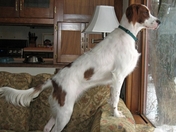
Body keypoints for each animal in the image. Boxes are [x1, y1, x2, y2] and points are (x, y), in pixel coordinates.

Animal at [0, 3, 160, 131]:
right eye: (145, 12)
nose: (159, 21)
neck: (127, 33)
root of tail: (54, 80)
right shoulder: (118, 75)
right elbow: (115, 99)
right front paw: (116, 115)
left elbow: (111, 99)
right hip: (65, 112)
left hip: (59, 109)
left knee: (46, 127)